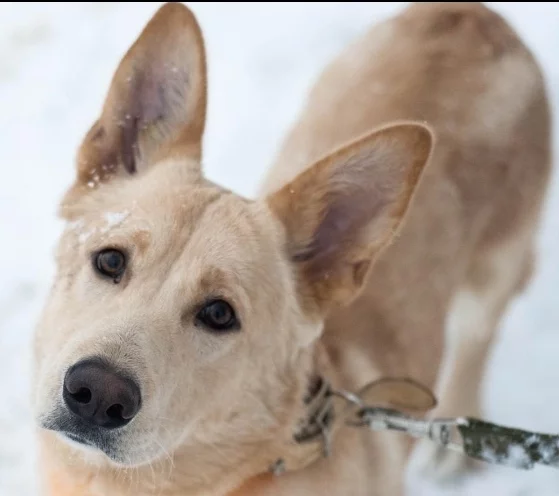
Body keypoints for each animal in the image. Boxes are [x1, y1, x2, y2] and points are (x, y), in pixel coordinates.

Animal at [32, 0, 552, 496]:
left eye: (219, 314)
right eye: (110, 260)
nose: (99, 393)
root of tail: (472, 14)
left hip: (493, 272)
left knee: (475, 341)